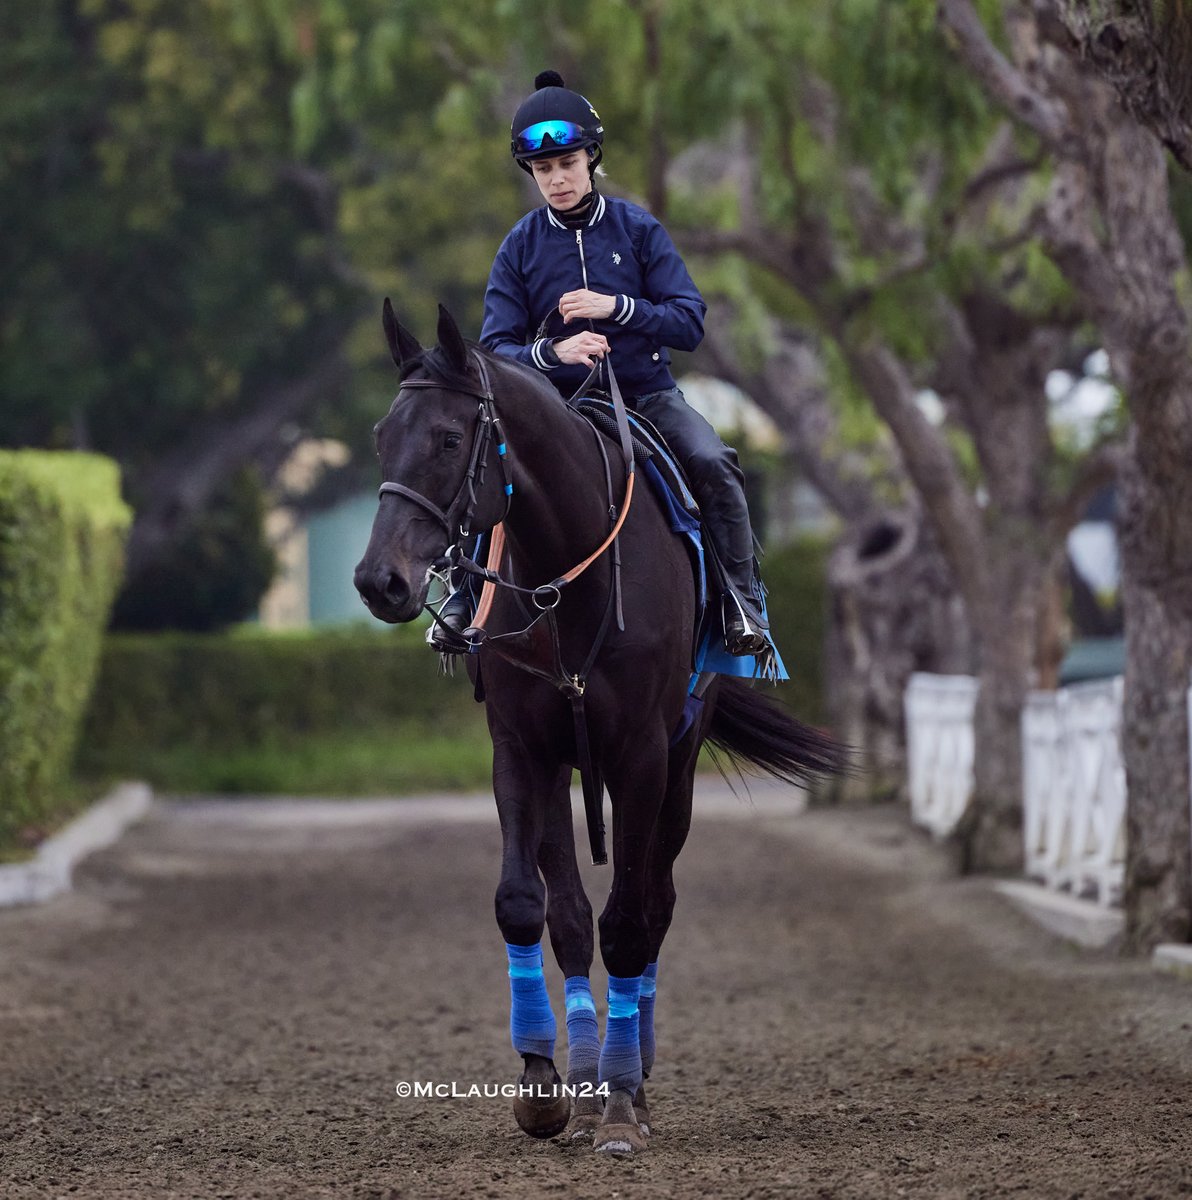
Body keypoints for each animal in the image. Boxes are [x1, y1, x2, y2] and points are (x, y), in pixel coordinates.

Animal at [355, 300, 845, 1152]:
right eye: (384, 434)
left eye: (448, 438)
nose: (378, 581)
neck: (568, 573)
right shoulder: (523, 752)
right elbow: (534, 906)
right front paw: (548, 1086)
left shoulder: (643, 757)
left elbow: (629, 922)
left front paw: (620, 1104)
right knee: (578, 915)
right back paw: (588, 1078)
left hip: (677, 769)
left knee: (655, 904)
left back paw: (631, 1073)